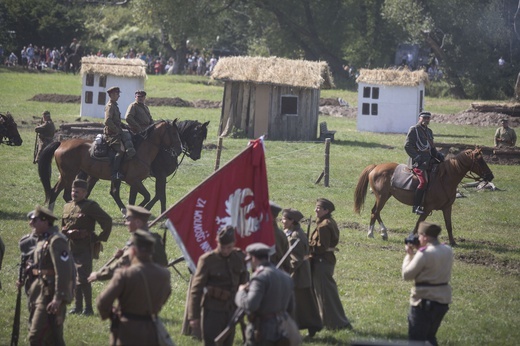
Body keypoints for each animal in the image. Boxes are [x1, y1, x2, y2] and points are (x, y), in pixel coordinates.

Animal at [38, 121, 183, 214]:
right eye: (174, 133)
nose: (179, 149)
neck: (142, 150)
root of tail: (62, 143)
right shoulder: (133, 180)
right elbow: (147, 196)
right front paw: (139, 209)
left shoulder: (135, 181)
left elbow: (135, 197)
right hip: (69, 175)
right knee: (65, 194)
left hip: (66, 175)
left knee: (55, 191)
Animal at [354, 147, 496, 245]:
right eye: (480, 161)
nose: (490, 176)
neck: (444, 179)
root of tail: (376, 166)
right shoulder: (427, 208)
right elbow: (419, 223)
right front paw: (411, 238)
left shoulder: (447, 208)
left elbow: (448, 225)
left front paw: (453, 242)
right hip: (382, 197)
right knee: (375, 212)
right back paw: (375, 233)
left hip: (385, 196)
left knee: (375, 212)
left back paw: (379, 233)